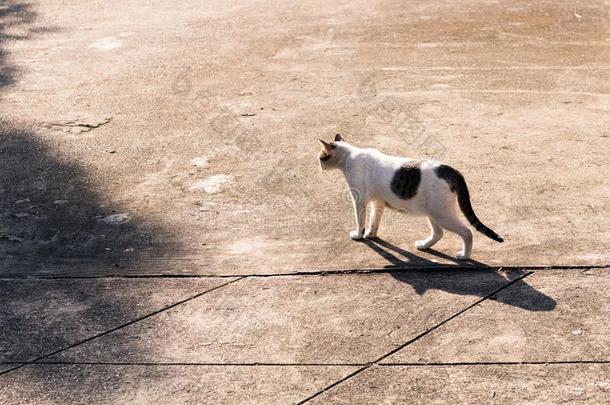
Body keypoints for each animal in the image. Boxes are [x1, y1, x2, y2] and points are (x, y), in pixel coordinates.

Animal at [316, 133, 502, 258]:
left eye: (321, 157)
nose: (319, 166)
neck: (349, 157)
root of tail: (451, 170)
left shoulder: (359, 201)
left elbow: (360, 221)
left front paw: (359, 235)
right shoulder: (378, 202)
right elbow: (374, 221)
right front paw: (371, 234)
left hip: (442, 214)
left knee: (467, 232)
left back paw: (464, 256)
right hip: (433, 213)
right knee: (438, 233)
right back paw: (424, 245)